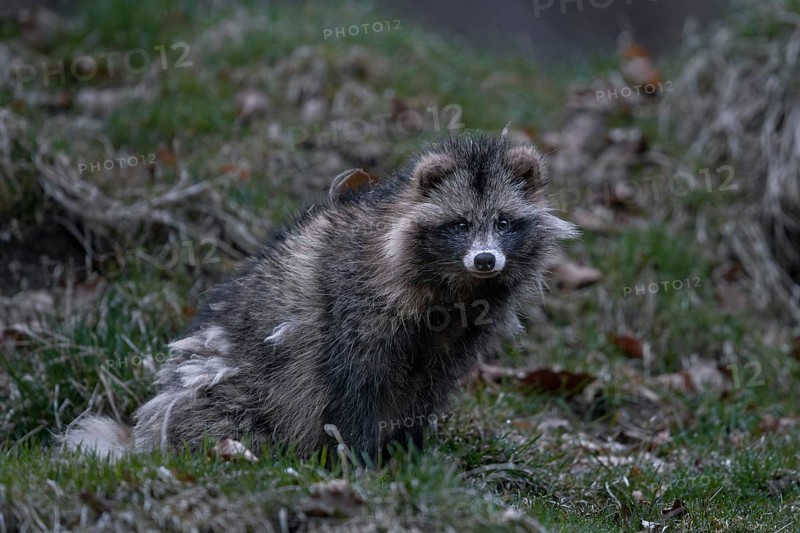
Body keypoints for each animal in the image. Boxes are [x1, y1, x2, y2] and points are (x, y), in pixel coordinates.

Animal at [63, 134, 578, 460]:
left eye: (505, 222)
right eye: (459, 224)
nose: (486, 260)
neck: (457, 291)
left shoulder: (457, 335)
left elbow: (428, 388)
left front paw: (411, 449)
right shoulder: (355, 305)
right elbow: (351, 383)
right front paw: (359, 457)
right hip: (225, 388)